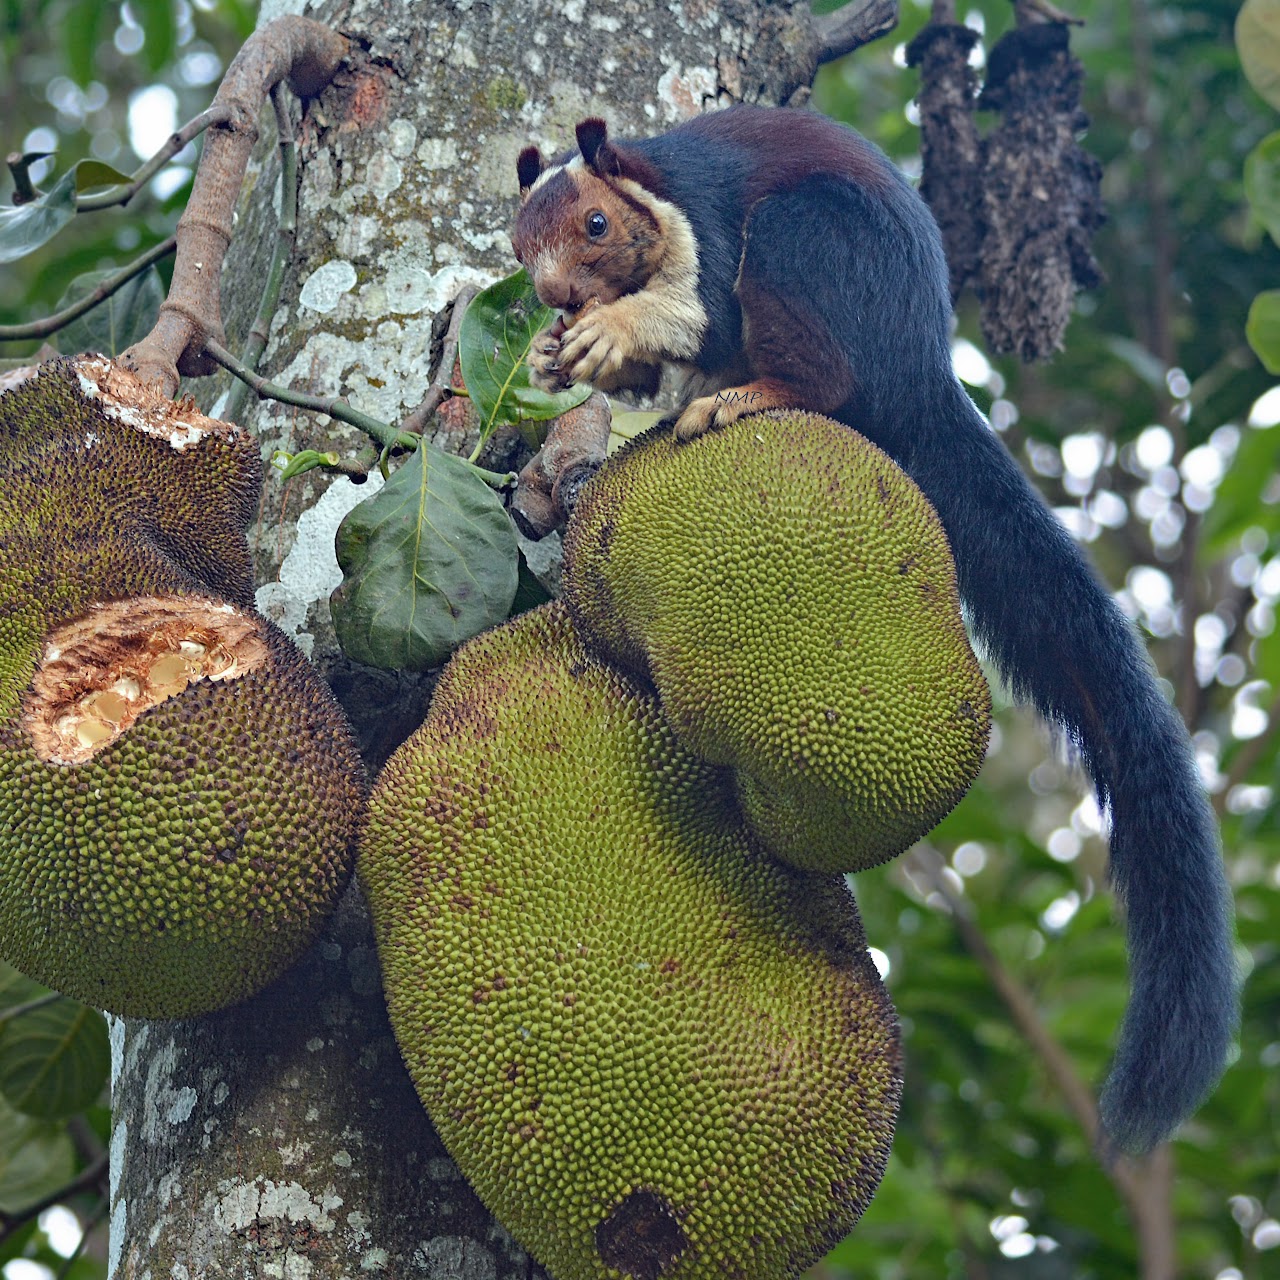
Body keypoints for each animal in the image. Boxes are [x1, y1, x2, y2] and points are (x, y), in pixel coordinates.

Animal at [510, 105, 1236, 1155]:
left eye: (597, 227)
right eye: (518, 249)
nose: (556, 296)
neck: (649, 195)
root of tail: (926, 371)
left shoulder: (705, 218)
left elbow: (703, 310)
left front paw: (612, 331)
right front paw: (549, 351)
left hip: (818, 249)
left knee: (823, 370)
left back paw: (752, 396)